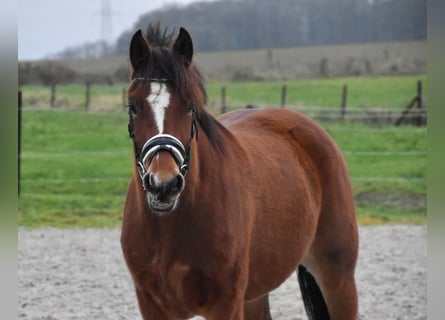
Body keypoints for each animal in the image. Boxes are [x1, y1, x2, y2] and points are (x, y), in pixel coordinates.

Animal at [120, 25, 358, 320]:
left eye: (190, 105)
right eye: (133, 106)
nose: (163, 185)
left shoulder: (226, 304)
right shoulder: (153, 306)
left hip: (338, 276)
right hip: (255, 293)